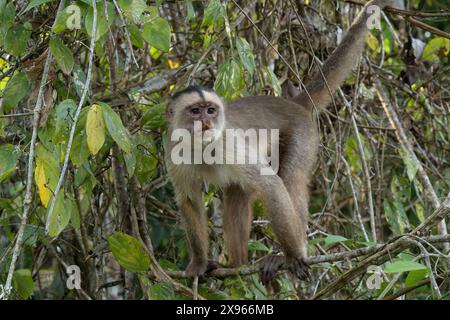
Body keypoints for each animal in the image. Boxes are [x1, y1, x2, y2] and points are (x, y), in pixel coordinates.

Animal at [165, 0, 398, 282]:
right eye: (195, 111)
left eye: (210, 110)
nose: (206, 122)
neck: (201, 147)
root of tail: (292, 103)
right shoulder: (174, 149)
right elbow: (189, 201)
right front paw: (199, 262)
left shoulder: (227, 142)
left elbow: (272, 186)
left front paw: (294, 256)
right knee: (236, 194)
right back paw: (237, 264)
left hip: (302, 133)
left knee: (290, 178)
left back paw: (284, 254)